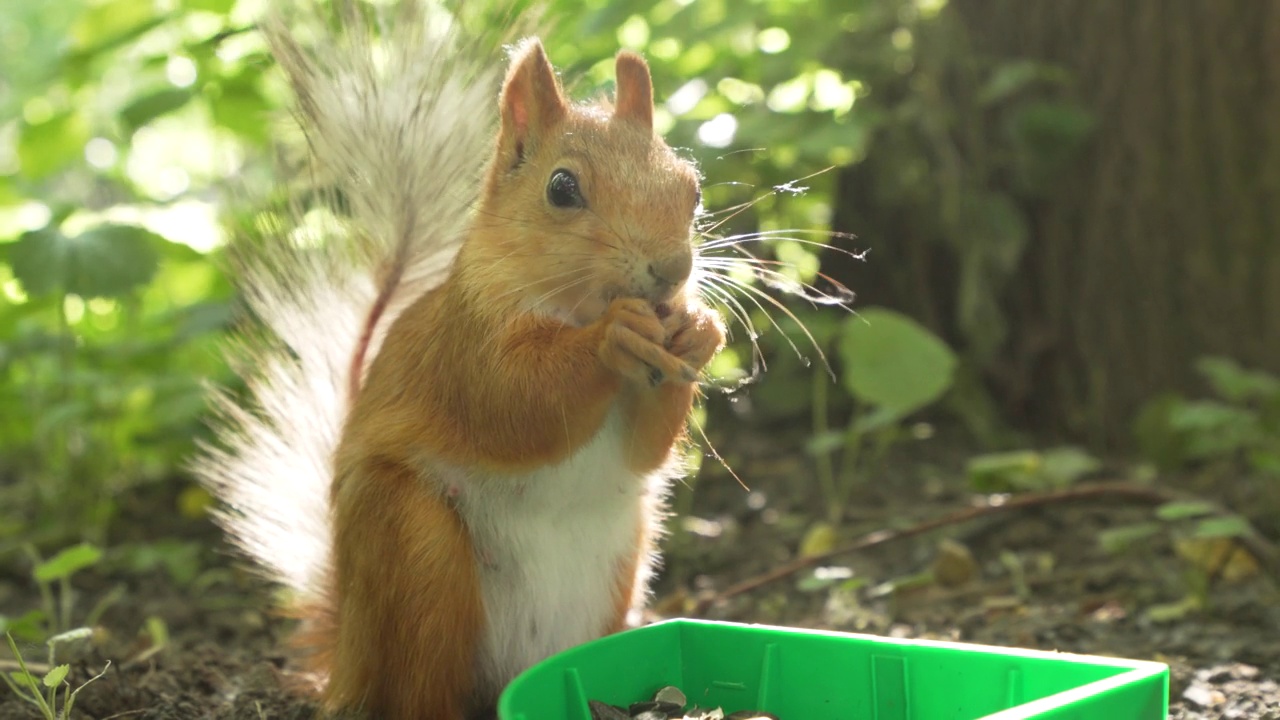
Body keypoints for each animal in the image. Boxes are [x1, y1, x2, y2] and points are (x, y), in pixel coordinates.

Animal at [195, 2, 727, 712]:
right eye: (562, 188)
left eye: (691, 188)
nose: (673, 272)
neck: (572, 308)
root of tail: (346, 662)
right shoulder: (465, 345)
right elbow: (514, 401)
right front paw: (613, 336)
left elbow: (645, 447)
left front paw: (701, 329)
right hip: (417, 551)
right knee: (417, 689)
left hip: (621, 567)